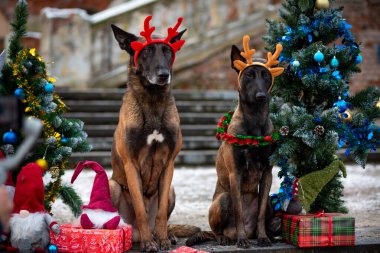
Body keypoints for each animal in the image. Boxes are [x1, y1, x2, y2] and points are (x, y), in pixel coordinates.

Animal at [109, 15, 200, 251]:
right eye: (147, 51)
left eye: (167, 51)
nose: (163, 75)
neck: (152, 99)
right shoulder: (131, 164)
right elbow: (141, 209)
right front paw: (150, 243)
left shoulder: (169, 164)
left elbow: (160, 214)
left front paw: (162, 240)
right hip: (112, 186)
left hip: (171, 191)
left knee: (165, 220)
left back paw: (166, 235)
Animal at [186, 34, 284, 248]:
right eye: (249, 75)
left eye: (266, 76)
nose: (261, 96)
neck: (255, 120)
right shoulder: (235, 174)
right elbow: (238, 211)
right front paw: (241, 240)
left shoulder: (267, 174)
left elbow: (261, 213)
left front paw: (264, 237)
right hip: (223, 199)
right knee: (216, 231)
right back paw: (227, 238)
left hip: (270, 201)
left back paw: (262, 235)